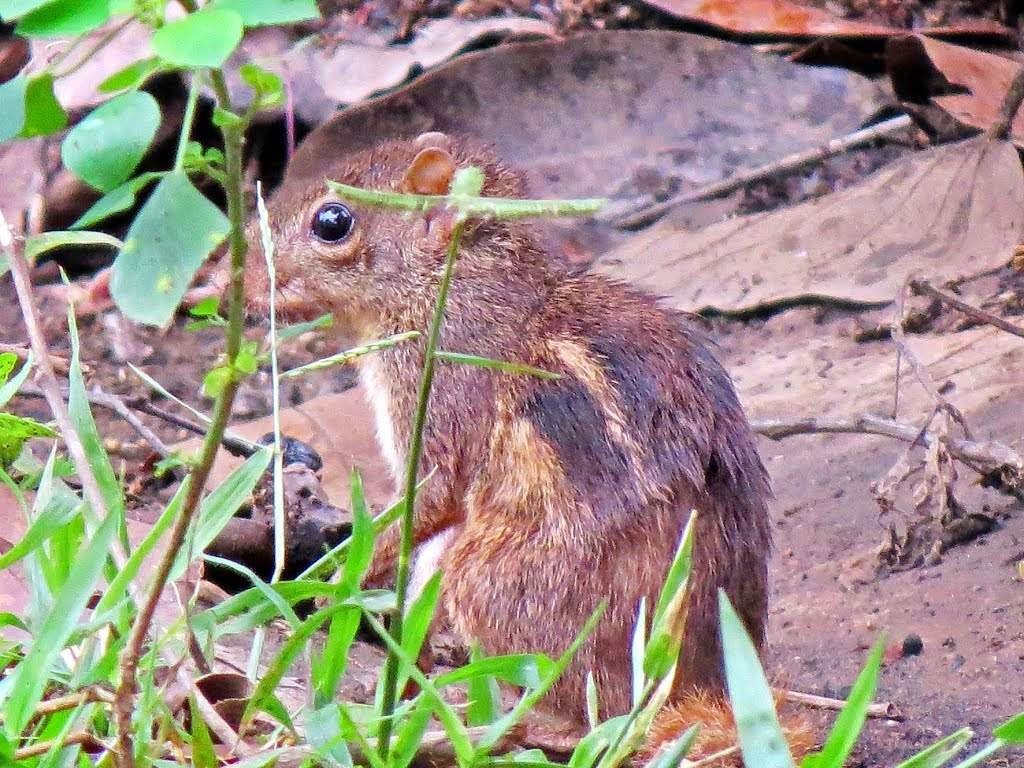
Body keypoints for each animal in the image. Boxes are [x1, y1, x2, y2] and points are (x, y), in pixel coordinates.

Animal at [243, 132, 811, 765]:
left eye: (333, 222)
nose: (239, 283)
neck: (457, 287)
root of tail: (703, 691)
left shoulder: (438, 407)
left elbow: (425, 503)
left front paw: (331, 585)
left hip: (489, 579)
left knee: (599, 718)